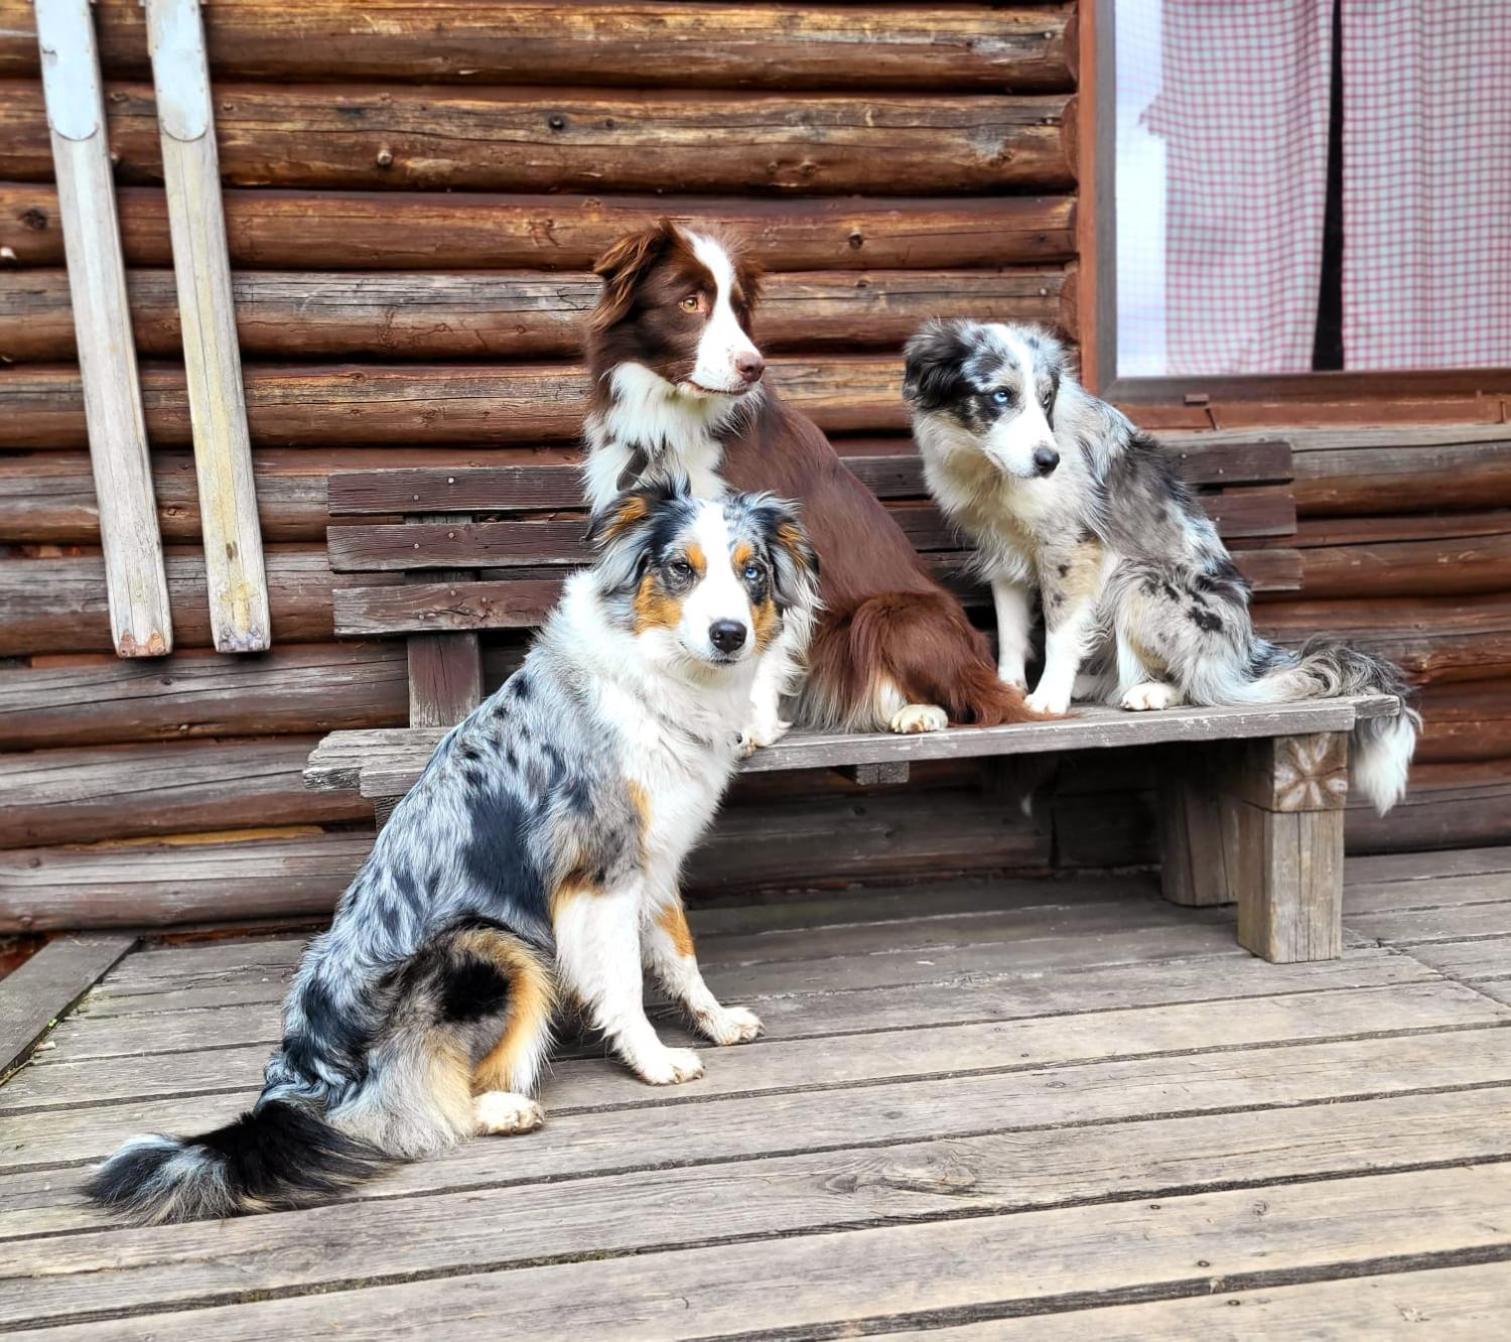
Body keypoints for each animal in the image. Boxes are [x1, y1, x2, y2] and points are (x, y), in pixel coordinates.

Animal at [88, 483, 821, 1227]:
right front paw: (654, 1059)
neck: (658, 676)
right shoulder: (600, 872)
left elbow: (679, 954)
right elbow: (622, 983)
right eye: (680, 568)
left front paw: (715, 1021)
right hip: (493, 949)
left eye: (752, 571)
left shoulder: (655, 861)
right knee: (399, 1114)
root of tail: (298, 1078)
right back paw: (500, 1109)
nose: (728, 634)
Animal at [580, 222, 1039, 743]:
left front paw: (752, 726)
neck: (674, 426)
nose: (753, 366)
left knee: (976, 700)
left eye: (738, 308)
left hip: (890, 614)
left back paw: (920, 712)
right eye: (690, 302)